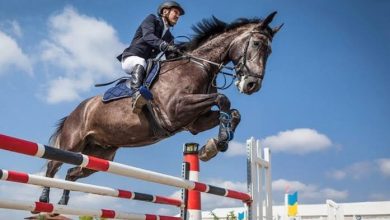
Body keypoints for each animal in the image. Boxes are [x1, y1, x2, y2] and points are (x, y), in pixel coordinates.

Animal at [39, 11, 282, 205]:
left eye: (270, 51)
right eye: (257, 44)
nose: (252, 85)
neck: (199, 66)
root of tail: (76, 111)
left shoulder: (194, 122)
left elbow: (233, 112)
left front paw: (214, 145)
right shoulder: (176, 110)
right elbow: (223, 99)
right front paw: (217, 142)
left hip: (100, 154)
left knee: (72, 172)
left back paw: (63, 200)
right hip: (73, 143)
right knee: (52, 165)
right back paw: (43, 199)